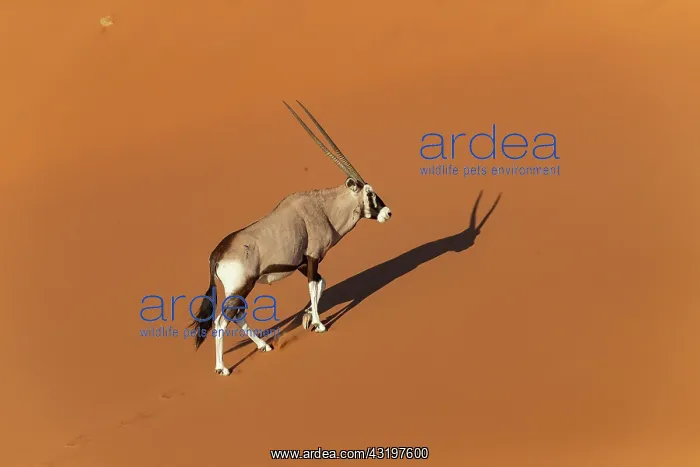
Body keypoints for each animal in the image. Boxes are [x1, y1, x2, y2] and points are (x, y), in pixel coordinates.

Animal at [189, 101, 392, 375]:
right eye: (369, 193)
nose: (387, 212)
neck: (323, 208)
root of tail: (216, 254)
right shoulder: (313, 257)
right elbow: (313, 285)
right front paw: (319, 324)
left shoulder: (302, 263)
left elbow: (322, 283)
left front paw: (307, 318)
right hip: (240, 287)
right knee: (222, 321)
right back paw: (223, 368)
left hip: (242, 289)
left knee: (237, 317)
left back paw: (264, 346)